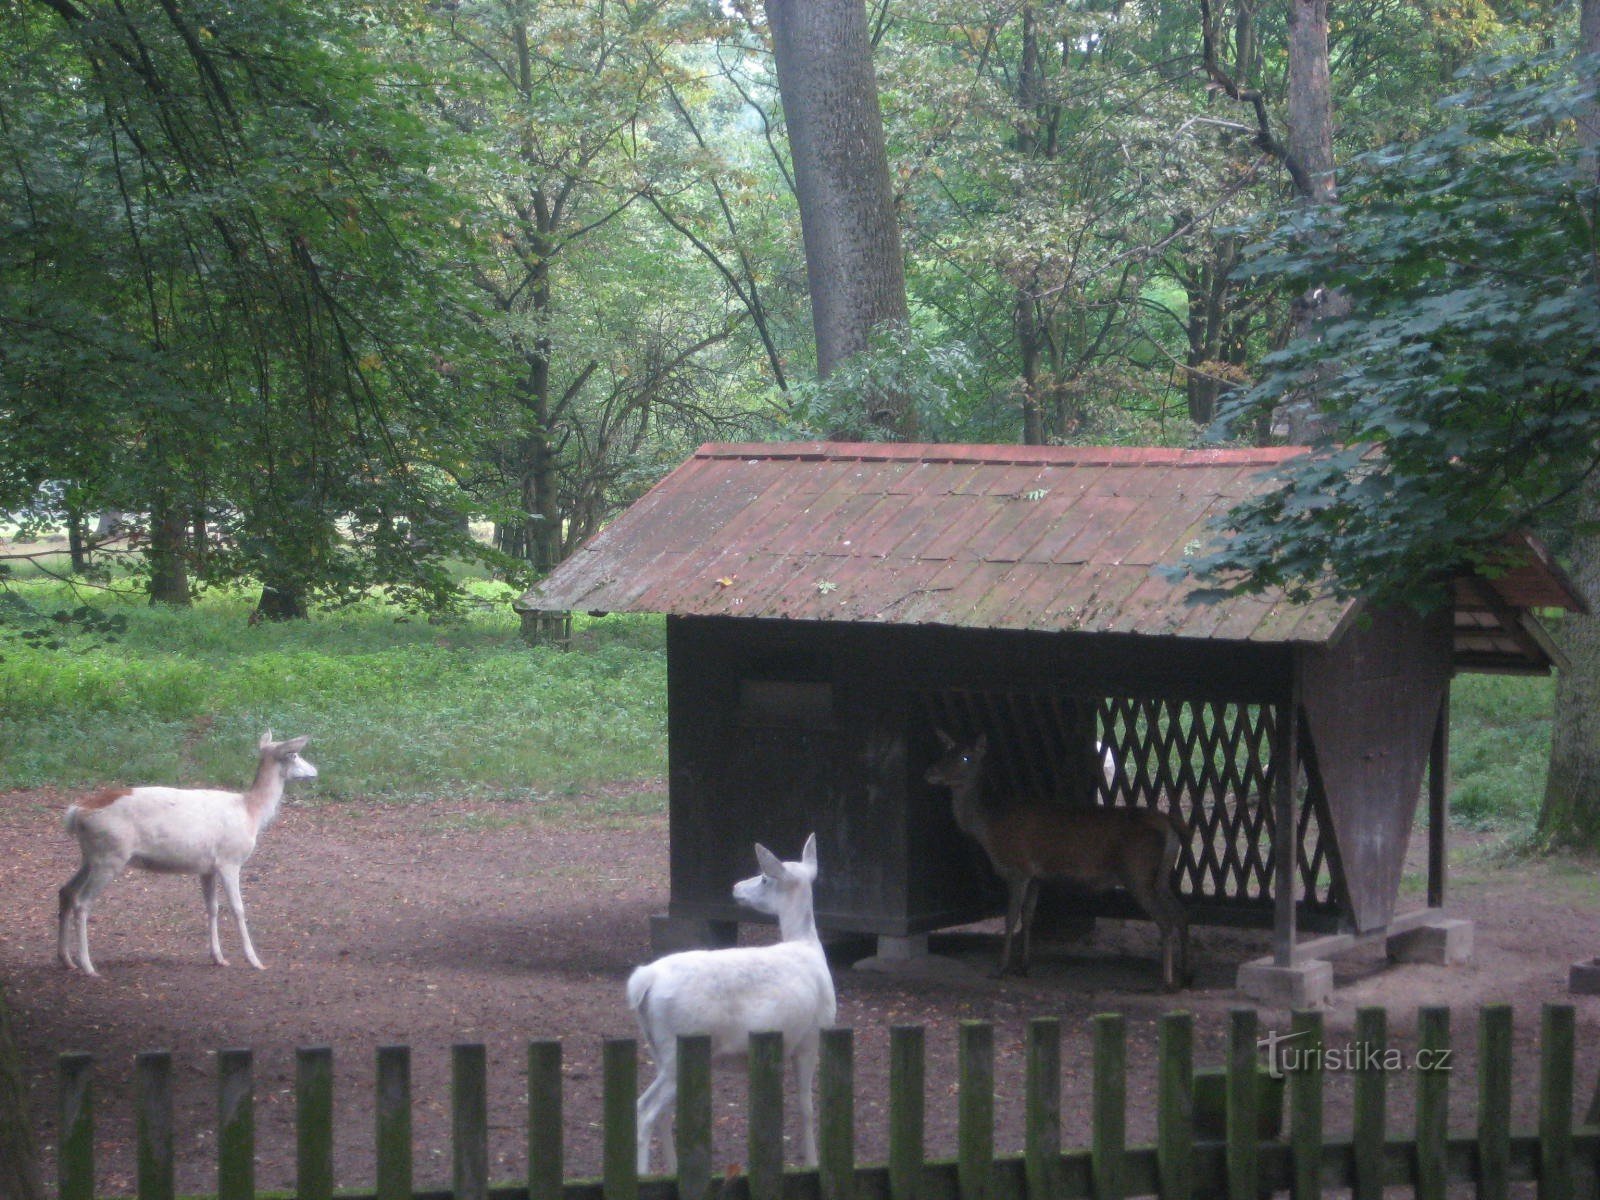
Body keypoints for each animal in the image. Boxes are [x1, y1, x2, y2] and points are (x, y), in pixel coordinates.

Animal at [57, 732, 312, 979]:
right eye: (294, 755)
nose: (314, 771)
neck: (252, 813)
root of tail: (76, 812)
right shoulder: (229, 860)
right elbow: (238, 908)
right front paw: (255, 961)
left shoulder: (207, 868)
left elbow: (212, 907)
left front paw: (218, 958)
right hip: (110, 856)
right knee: (82, 902)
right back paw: (88, 966)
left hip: (91, 857)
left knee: (66, 891)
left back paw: (67, 960)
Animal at [624, 838, 838, 1177]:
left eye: (764, 878)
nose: (735, 887)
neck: (808, 947)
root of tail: (644, 981)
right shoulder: (811, 1035)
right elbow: (806, 1106)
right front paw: (813, 1163)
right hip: (681, 1047)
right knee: (646, 1110)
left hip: (658, 1049)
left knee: (658, 1110)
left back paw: (671, 1170)